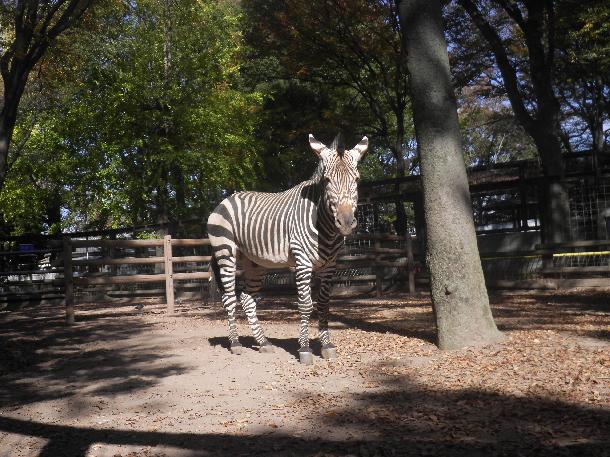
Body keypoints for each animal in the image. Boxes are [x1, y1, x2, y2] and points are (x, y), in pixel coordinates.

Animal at [205, 132, 366, 364]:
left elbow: (324, 303)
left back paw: (263, 342)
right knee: (229, 298)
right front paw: (305, 349)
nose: (345, 223)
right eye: (327, 181)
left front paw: (326, 346)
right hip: (226, 253)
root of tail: (226, 198)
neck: (323, 225)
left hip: (254, 263)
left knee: (247, 299)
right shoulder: (302, 262)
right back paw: (235, 343)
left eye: (357, 179)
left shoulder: (329, 266)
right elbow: (306, 304)